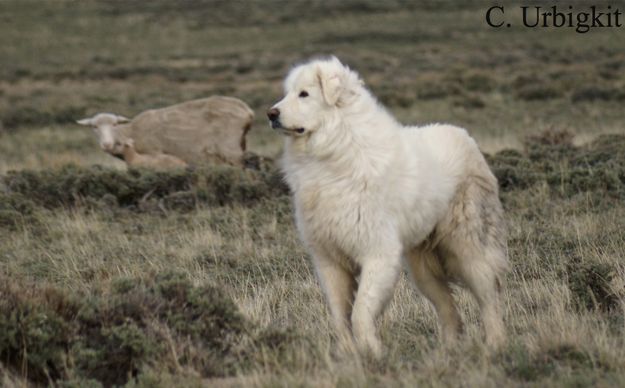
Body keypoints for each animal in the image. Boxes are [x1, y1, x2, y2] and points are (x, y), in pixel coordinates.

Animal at [77, 96, 254, 166]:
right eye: (94, 127)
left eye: (114, 124)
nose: (106, 144)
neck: (132, 132)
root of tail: (247, 110)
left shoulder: (154, 154)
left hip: (231, 150)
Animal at [266, 56, 508, 356]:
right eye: (288, 92)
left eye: (304, 94)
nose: (271, 114)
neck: (335, 149)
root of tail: (466, 136)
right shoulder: (329, 259)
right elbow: (339, 315)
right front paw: (348, 353)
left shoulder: (377, 253)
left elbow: (360, 312)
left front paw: (372, 352)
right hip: (423, 269)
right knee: (449, 309)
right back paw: (448, 351)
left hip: (469, 249)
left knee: (488, 297)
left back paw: (496, 344)